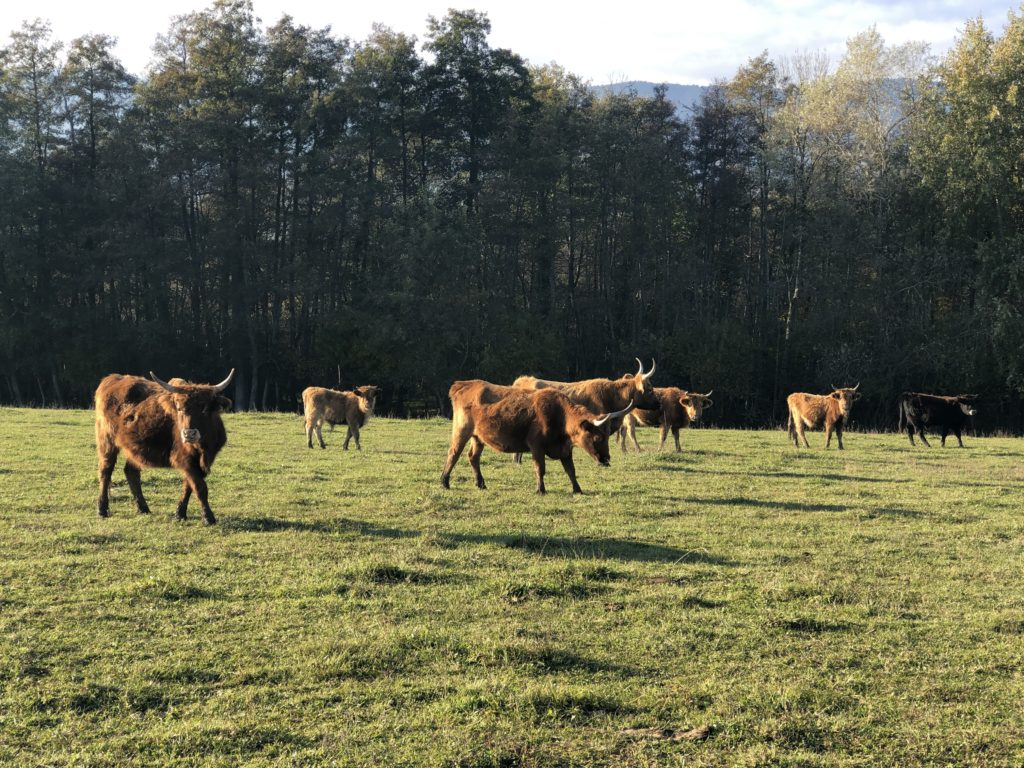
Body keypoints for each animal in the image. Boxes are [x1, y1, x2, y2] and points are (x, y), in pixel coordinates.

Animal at [93, 370, 234, 528]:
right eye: (179, 408)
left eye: (204, 409)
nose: (188, 434)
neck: (202, 448)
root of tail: (112, 378)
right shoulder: (184, 459)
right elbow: (199, 487)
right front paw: (208, 517)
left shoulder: (204, 460)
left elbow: (188, 486)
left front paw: (180, 514)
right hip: (106, 440)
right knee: (105, 471)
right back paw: (102, 509)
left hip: (134, 447)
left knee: (131, 472)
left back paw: (143, 508)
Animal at [444, 382, 634, 495]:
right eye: (597, 436)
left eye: (607, 435)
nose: (606, 459)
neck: (561, 415)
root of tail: (464, 384)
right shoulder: (537, 447)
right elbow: (540, 469)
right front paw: (540, 489)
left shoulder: (566, 450)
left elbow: (571, 471)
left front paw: (577, 489)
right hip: (462, 431)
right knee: (453, 454)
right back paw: (445, 481)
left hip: (478, 437)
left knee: (473, 457)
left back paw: (480, 484)